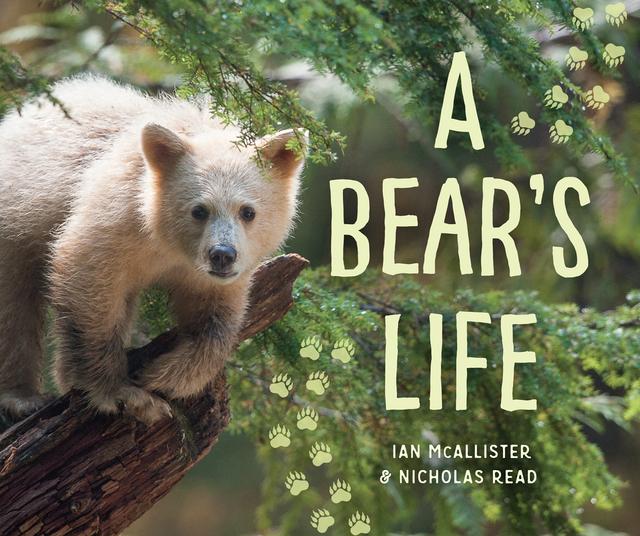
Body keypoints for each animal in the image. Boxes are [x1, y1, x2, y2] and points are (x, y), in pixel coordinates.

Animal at [0, 76, 306, 423]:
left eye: (248, 211)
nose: (222, 255)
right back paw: (22, 397)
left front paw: (166, 375)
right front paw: (123, 393)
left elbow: (216, 318)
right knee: (13, 306)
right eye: (199, 210)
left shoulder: (211, 275)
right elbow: (86, 279)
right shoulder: (116, 218)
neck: (166, 245)